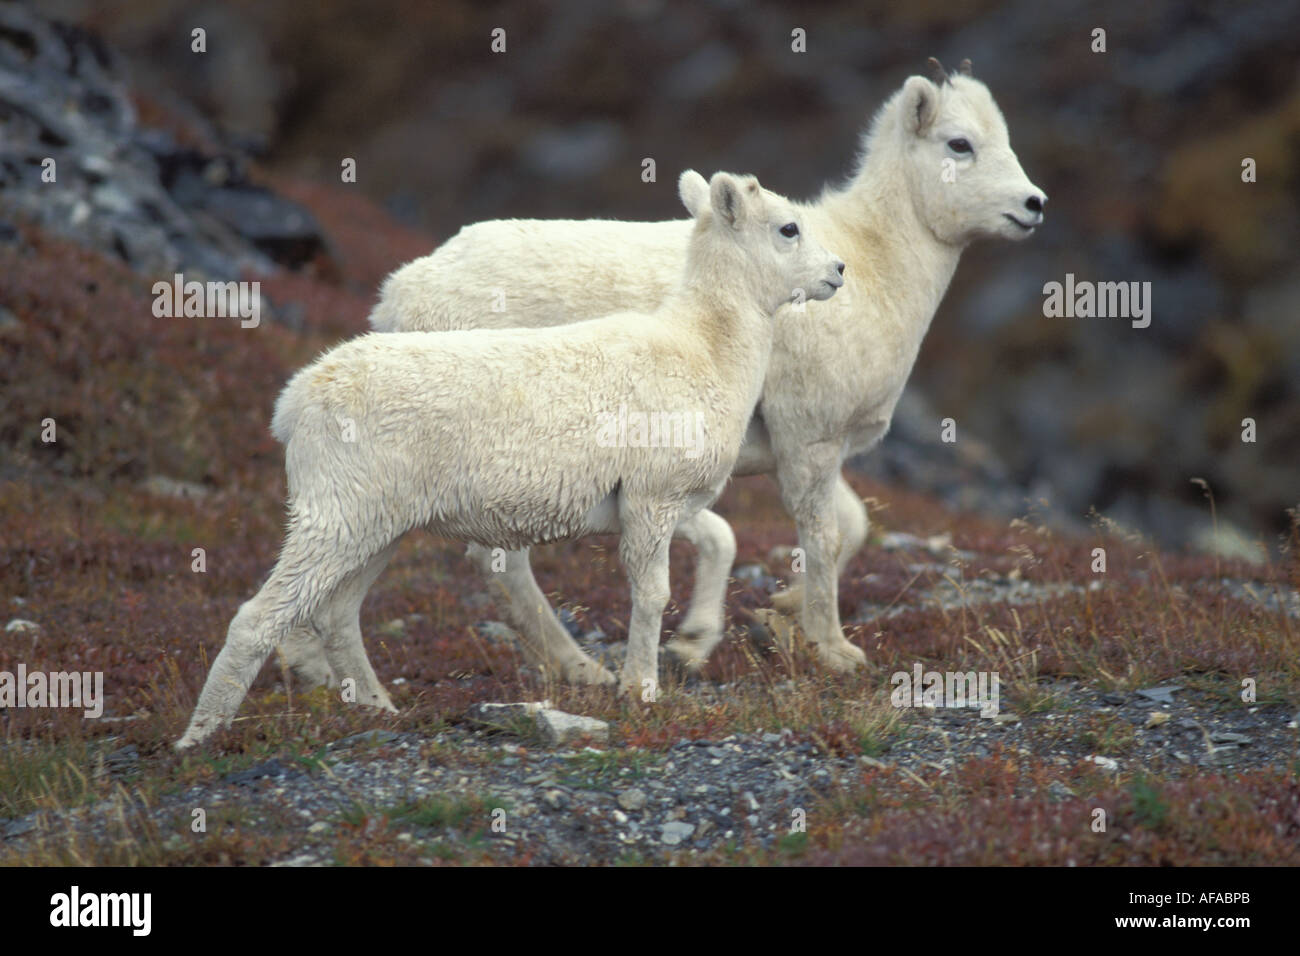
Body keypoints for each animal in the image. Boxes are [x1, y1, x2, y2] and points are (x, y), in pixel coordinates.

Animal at [175, 170, 845, 749]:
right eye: (788, 228)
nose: (839, 272)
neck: (704, 347)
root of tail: (295, 401)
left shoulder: (653, 508)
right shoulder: (653, 501)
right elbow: (652, 595)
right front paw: (642, 689)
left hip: (376, 528)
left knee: (338, 613)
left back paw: (379, 708)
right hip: (336, 519)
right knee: (260, 617)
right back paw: (200, 738)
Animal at [276, 58, 1044, 681]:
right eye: (959, 144)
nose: (1034, 205)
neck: (881, 264)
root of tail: (402, 293)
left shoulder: (798, 451)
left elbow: (848, 531)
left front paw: (768, 616)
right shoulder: (810, 443)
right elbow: (824, 539)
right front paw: (829, 648)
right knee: (494, 566)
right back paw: (579, 669)